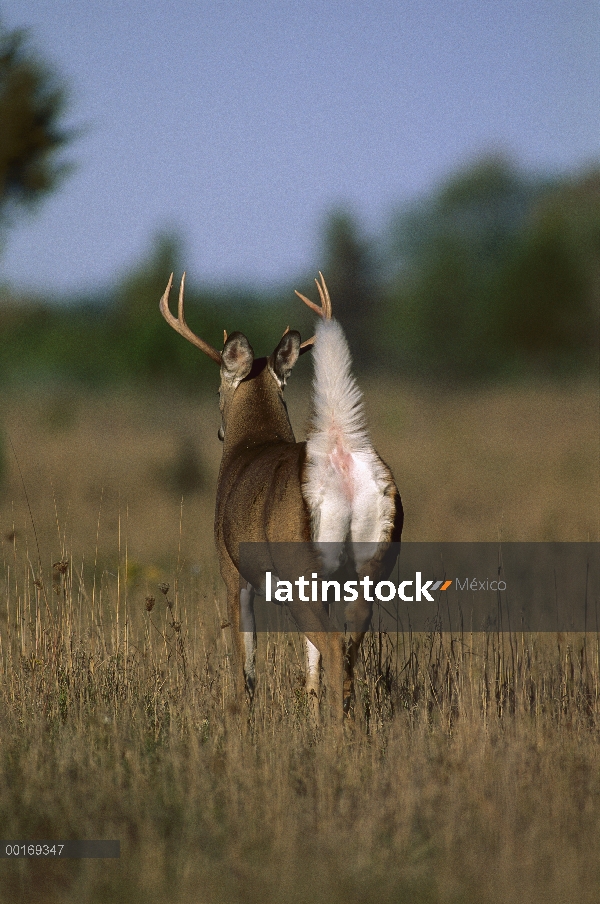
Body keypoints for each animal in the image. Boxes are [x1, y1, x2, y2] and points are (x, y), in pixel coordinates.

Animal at [159, 272, 404, 716]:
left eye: (215, 391)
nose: (218, 430)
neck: (251, 445)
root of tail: (340, 456)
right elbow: (308, 664)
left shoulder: (231, 571)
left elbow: (246, 666)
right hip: (369, 567)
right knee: (347, 646)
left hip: (299, 568)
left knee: (333, 645)